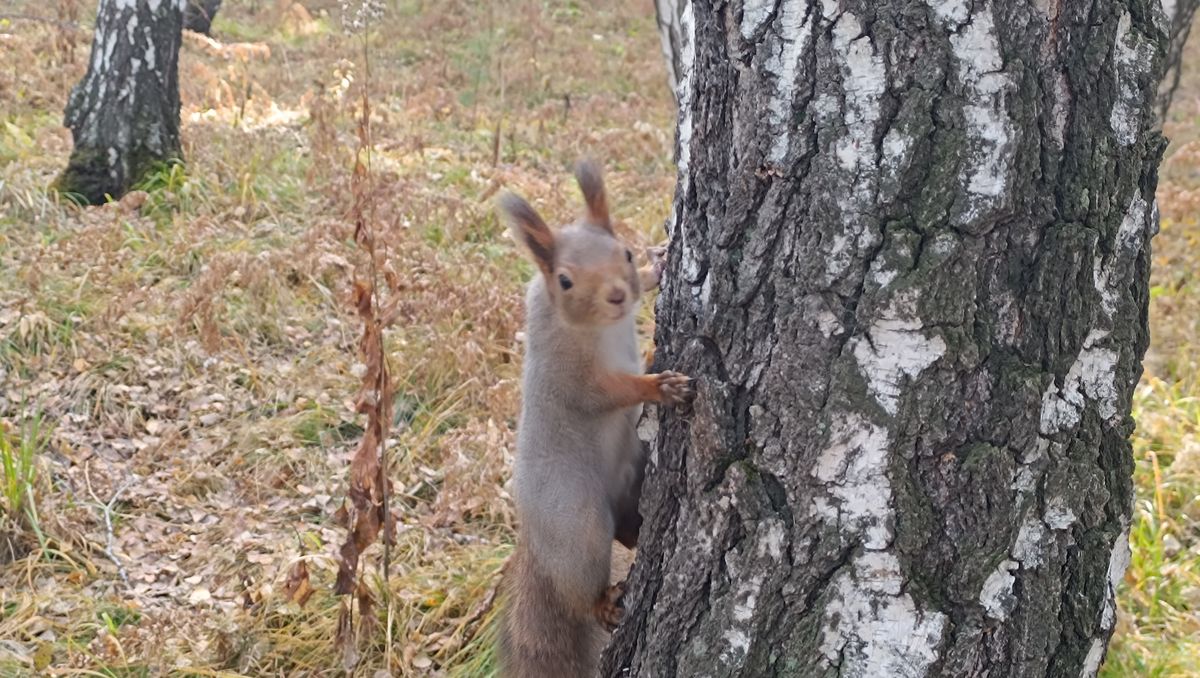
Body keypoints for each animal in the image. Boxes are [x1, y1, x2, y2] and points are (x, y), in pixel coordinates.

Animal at [494, 159, 696, 676]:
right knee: (583, 586)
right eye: (565, 281)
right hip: (578, 524)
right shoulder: (570, 376)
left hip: (629, 481)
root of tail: (535, 545)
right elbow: (608, 393)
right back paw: (603, 603)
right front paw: (658, 386)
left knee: (629, 528)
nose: (617, 295)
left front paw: (656, 267)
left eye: (623, 251)